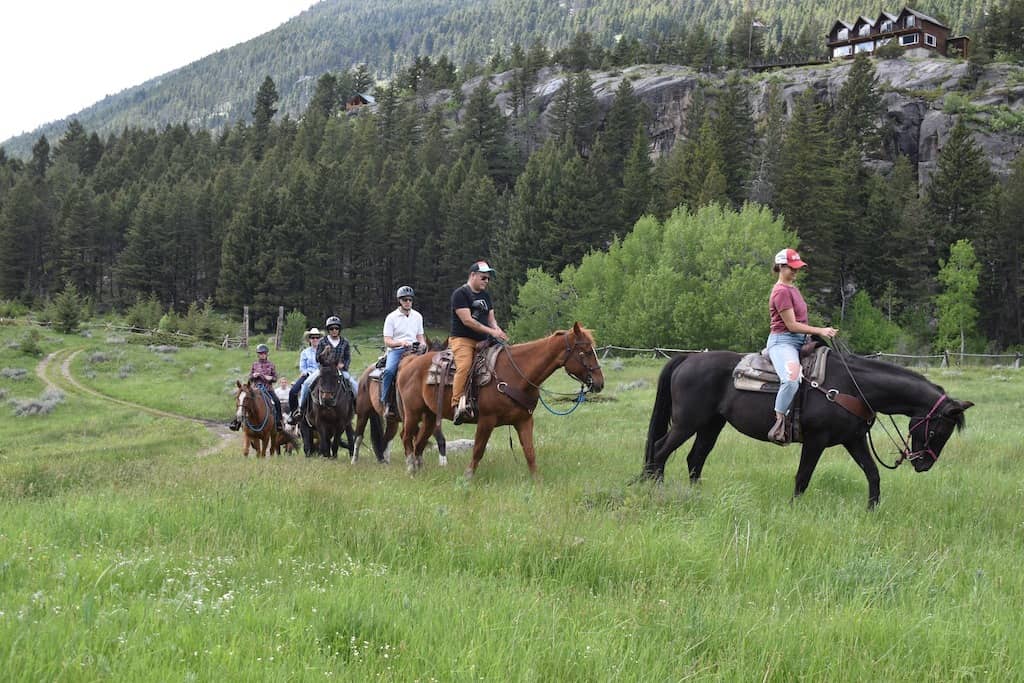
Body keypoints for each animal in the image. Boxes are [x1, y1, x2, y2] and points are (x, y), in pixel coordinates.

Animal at [391, 323, 598, 479]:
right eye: (586, 351)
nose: (600, 382)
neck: (517, 373)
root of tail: (408, 363)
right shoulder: (487, 420)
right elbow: (478, 449)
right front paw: (468, 477)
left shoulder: (524, 420)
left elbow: (530, 452)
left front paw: (536, 480)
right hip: (412, 413)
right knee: (406, 437)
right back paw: (410, 468)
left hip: (430, 416)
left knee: (419, 442)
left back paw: (419, 470)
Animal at [643, 352, 970, 507]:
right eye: (939, 431)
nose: (924, 465)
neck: (853, 387)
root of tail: (688, 358)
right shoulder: (816, 441)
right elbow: (803, 477)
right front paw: (792, 508)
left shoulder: (853, 440)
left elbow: (873, 474)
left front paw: (872, 510)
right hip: (687, 423)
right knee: (660, 450)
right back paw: (657, 492)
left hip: (711, 424)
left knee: (695, 458)